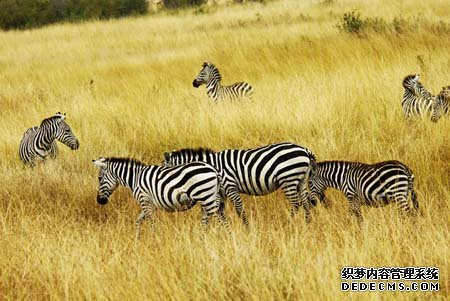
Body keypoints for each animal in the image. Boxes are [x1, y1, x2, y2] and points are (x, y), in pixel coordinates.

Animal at [93, 157, 230, 237]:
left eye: (99, 179)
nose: (99, 201)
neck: (135, 178)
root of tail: (213, 169)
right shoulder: (150, 204)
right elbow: (138, 221)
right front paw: (137, 238)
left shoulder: (144, 200)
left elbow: (152, 222)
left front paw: (155, 239)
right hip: (209, 197)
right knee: (210, 219)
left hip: (206, 196)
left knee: (220, 220)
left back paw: (222, 238)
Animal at [163, 141, 316, 225]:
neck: (213, 166)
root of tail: (305, 150)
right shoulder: (220, 191)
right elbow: (219, 211)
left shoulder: (230, 186)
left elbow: (238, 209)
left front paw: (246, 228)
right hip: (301, 180)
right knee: (305, 203)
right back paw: (307, 225)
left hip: (288, 178)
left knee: (296, 204)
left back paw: (287, 223)